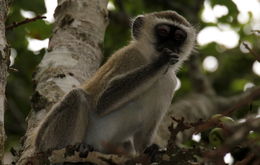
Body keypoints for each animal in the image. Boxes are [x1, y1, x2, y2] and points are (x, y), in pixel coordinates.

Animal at [34, 10, 195, 156]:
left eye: (179, 37)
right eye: (163, 31)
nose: (171, 45)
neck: (148, 59)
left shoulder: (170, 82)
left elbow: (143, 137)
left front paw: (151, 150)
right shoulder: (127, 56)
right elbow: (103, 102)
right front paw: (161, 61)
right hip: (45, 139)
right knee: (76, 96)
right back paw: (73, 147)